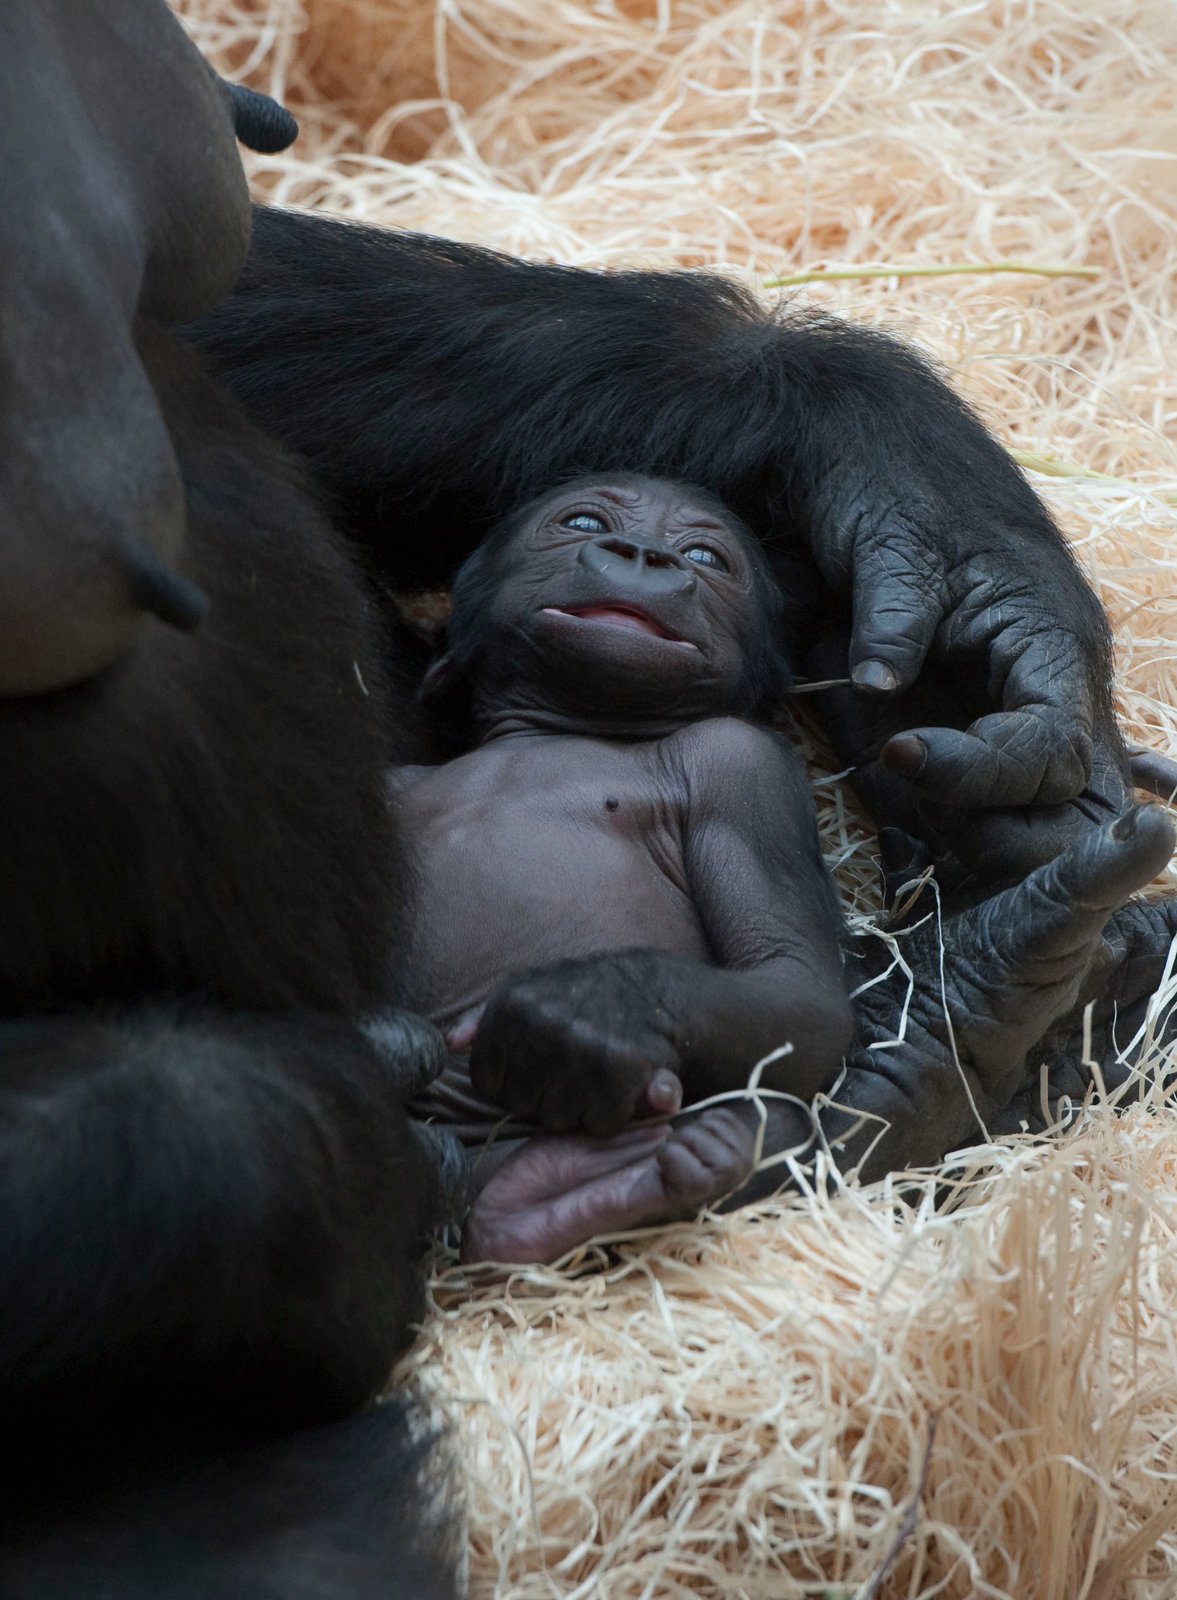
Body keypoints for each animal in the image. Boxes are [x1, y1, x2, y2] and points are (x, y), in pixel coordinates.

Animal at [390, 473, 850, 1260]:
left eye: (704, 556)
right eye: (582, 522)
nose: (642, 554)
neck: (564, 726)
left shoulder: (741, 764)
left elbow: (799, 982)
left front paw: (594, 1009)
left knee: (774, 1117)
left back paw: (647, 1171)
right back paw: (556, 1195)